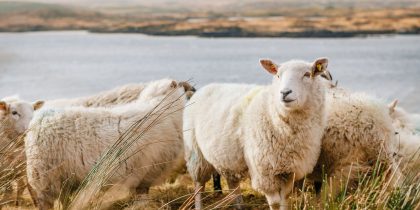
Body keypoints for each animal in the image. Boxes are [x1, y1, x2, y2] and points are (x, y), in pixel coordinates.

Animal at [25, 79, 189, 210]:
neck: (161, 108)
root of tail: (37, 120)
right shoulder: (145, 174)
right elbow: (142, 197)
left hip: (63, 178)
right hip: (44, 176)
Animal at [184, 57, 328, 210]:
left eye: (307, 74)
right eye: (278, 75)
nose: (285, 92)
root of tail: (204, 88)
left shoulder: (289, 171)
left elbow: (285, 200)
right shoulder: (264, 172)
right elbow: (275, 203)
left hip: (227, 157)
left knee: (232, 183)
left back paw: (239, 206)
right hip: (195, 154)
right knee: (199, 185)